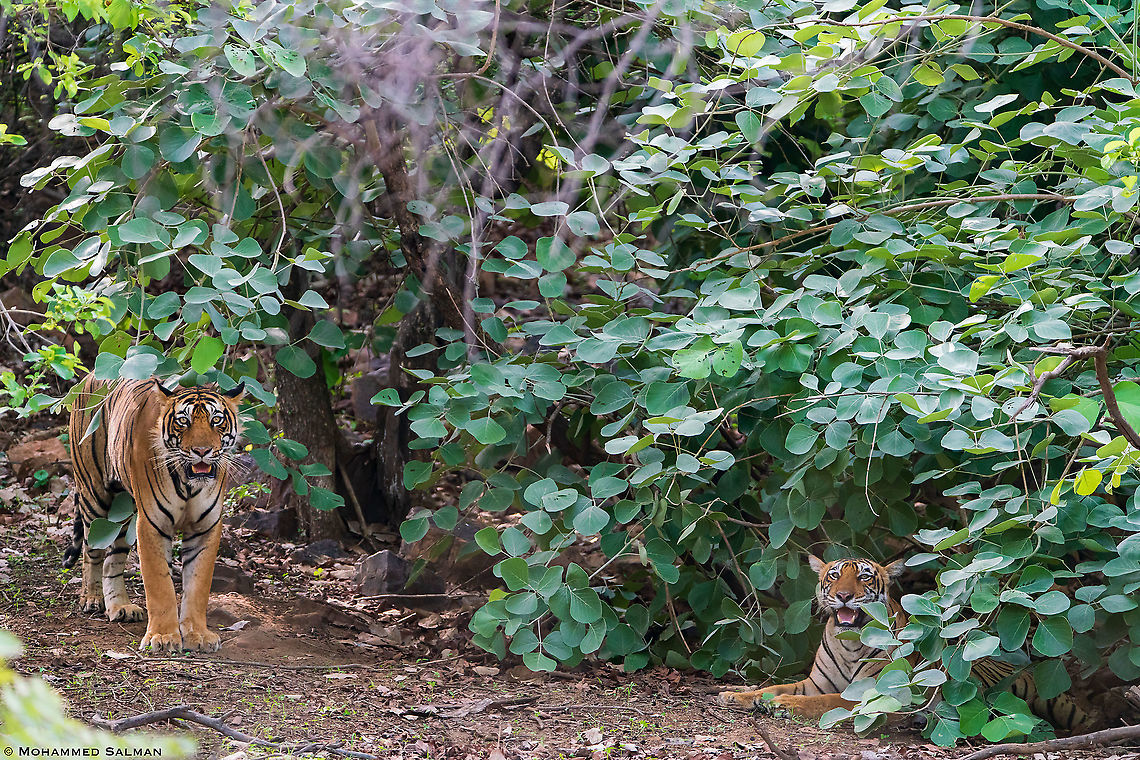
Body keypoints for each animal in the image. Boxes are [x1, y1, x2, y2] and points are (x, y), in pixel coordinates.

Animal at [63, 375, 243, 652]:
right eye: (183, 421)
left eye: (216, 420)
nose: (202, 451)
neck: (189, 483)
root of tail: (89, 376)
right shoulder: (152, 524)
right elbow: (160, 585)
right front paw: (164, 637)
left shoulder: (205, 529)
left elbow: (198, 585)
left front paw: (198, 635)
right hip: (94, 494)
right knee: (91, 550)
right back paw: (91, 598)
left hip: (122, 514)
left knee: (112, 559)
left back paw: (120, 606)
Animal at [718, 555, 1106, 733]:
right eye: (834, 575)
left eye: (864, 577)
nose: (843, 596)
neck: (847, 643)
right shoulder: (814, 683)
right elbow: (774, 685)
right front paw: (736, 695)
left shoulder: (874, 692)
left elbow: (826, 702)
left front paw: (783, 705)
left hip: (1047, 696)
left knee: (1084, 716)